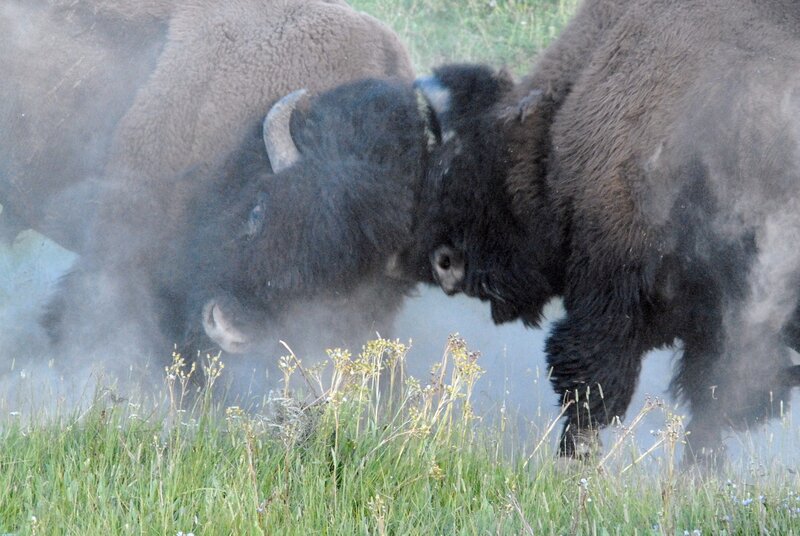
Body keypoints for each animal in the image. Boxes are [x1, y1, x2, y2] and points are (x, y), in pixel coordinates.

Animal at [410, 0, 800, 464]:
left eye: (467, 157)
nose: (444, 262)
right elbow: (707, 405)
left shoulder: (611, 287)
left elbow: (592, 384)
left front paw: (575, 462)